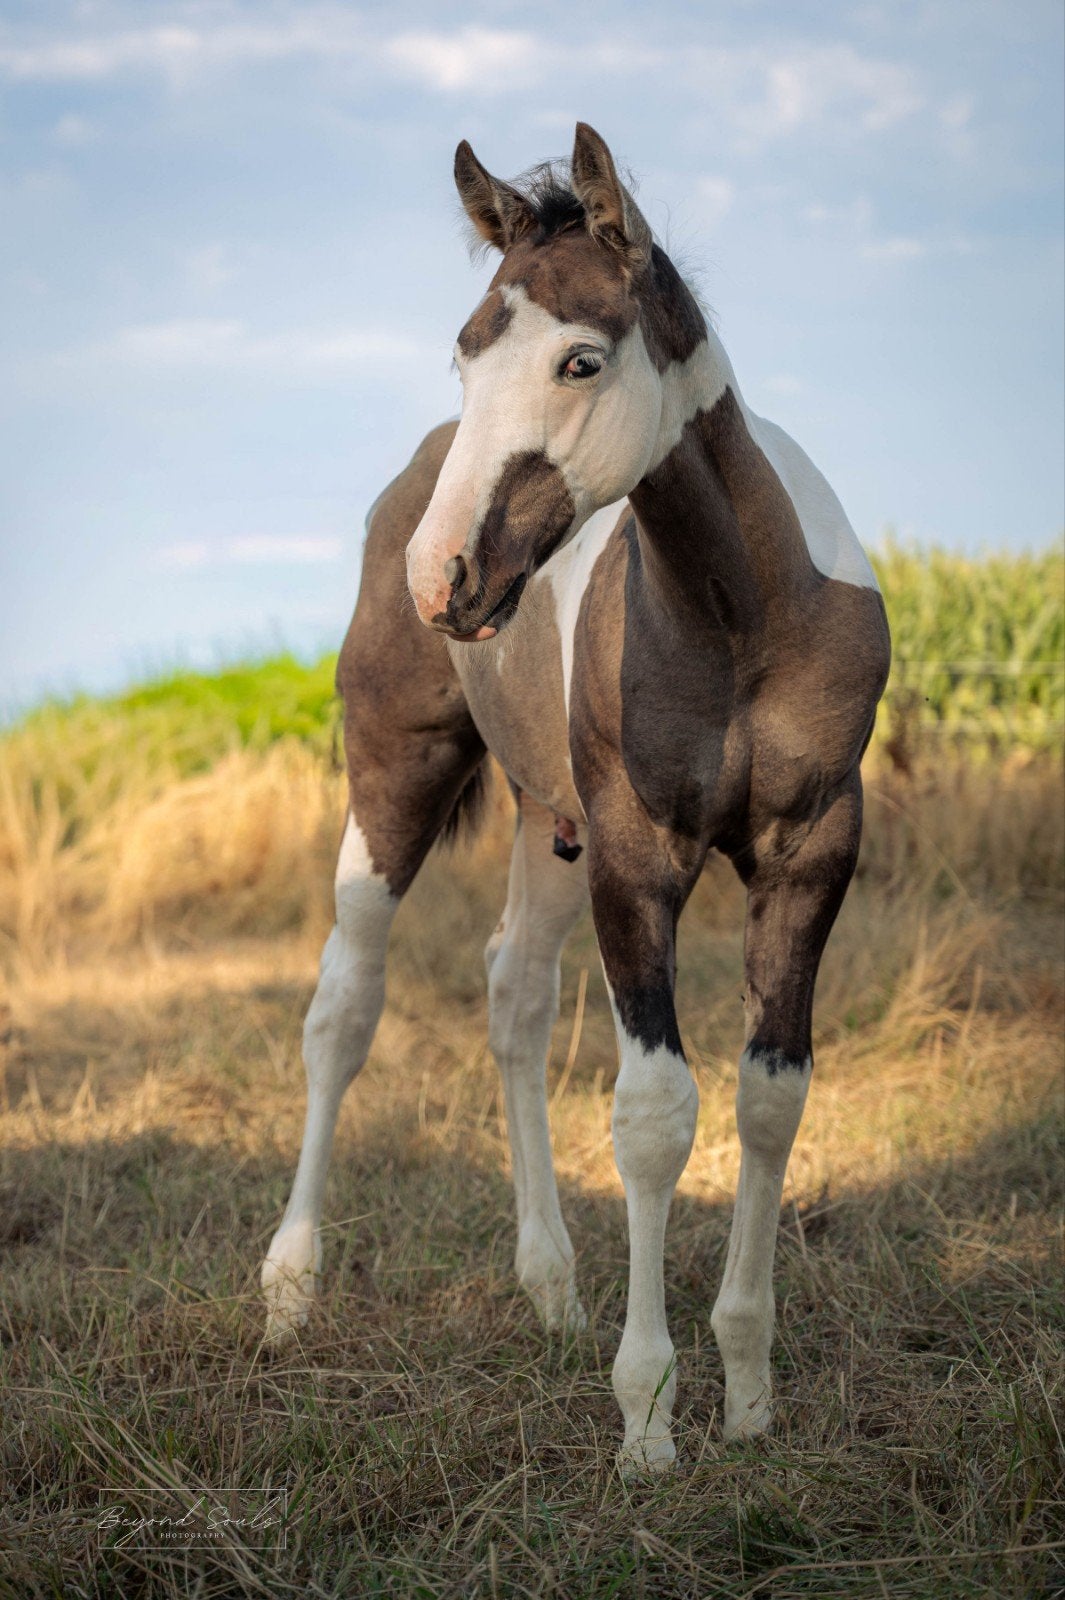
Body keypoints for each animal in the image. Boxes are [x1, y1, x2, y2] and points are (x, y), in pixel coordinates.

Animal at [261, 123, 891, 1471]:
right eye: (464, 350)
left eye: (580, 358)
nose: (441, 576)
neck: (740, 614)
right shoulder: (638, 856)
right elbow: (654, 1111)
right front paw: (647, 1417)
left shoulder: (813, 855)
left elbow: (771, 1097)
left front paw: (749, 1392)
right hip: (397, 777)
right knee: (344, 1006)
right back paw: (289, 1287)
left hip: (551, 831)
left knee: (514, 998)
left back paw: (549, 1287)